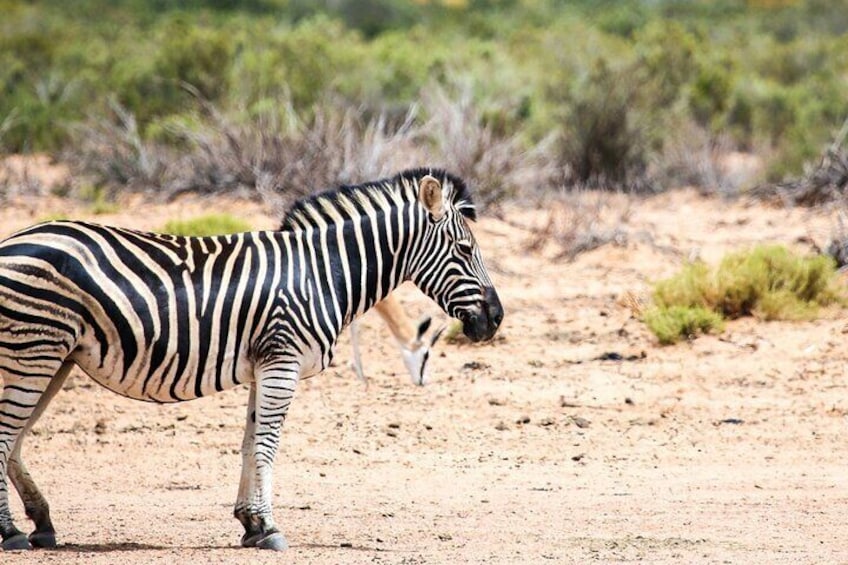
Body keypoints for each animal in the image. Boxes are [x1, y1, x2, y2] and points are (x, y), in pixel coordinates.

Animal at [0, 167, 504, 552]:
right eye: (465, 249)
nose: (495, 319)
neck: (324, 274)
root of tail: (16, 237)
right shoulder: (282, 361)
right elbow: (267, 445)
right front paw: (270, 527)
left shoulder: (264, 365)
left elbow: (248, 442)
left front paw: (251, 523)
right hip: (35, 351)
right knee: (7, 435)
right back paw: (12, 533)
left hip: (55, 356)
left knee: (17, 438)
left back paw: (41, 522)